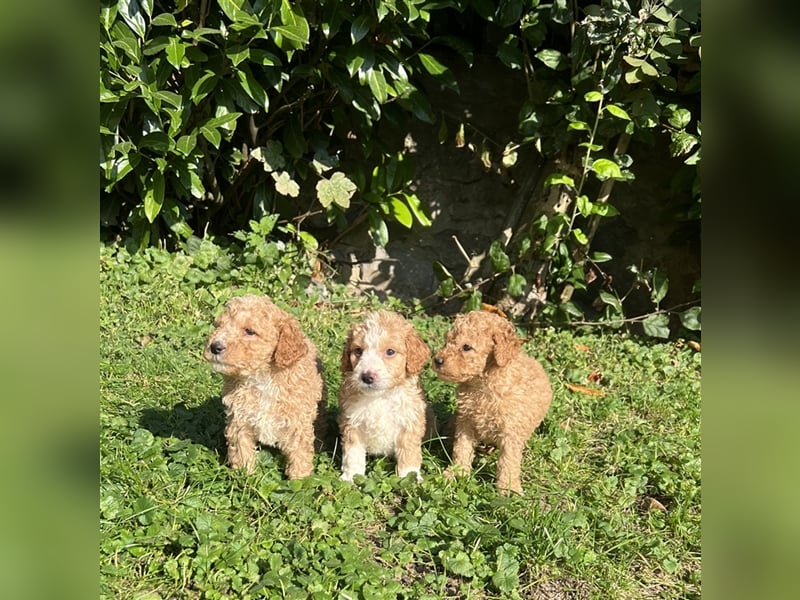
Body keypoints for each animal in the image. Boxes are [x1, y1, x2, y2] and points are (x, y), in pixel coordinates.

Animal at [205, 292, 326, 480]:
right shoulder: (239, 419)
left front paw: (300, 480)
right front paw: (244, 475)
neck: (261, 377)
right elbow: (241, 449)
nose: (214, 346)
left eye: (250, 331)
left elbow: (299, 454)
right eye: (219, 325)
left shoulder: (297, 422)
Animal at [340, 312, 434, 480]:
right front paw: (351, 477)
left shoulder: (409, 423)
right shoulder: (352, 423)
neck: (381, 396)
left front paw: (410, 477)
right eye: (358, 351)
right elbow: (353, 454)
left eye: (390, 352)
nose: (366, 377)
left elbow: (409, 453)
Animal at [434, 310, 552, 492]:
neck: (484, 383)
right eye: (447, 341)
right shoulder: (466, 421)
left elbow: (508, 461)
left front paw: (509, 489)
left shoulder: (511, 431)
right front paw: (456, 473)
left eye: (466, 347)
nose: (437, 360)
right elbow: (462, 448)